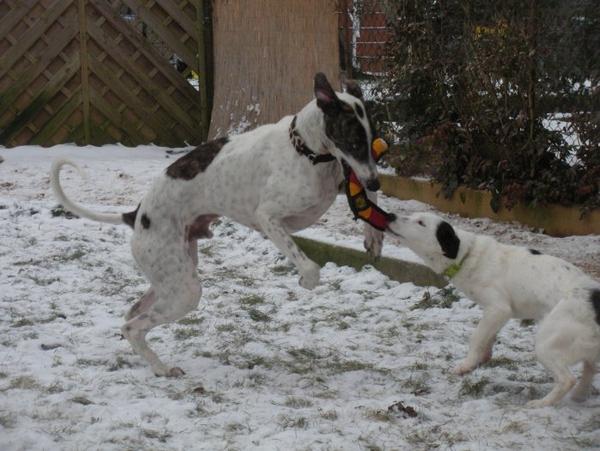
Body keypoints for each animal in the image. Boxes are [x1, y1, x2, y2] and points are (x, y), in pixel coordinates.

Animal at [49, 73, 382, 378]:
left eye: (373, 142)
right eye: (354, 141)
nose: (375, 179)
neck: (305, 150)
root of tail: (136, 215)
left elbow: (372, 203)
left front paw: (374, 238)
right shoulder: (268, 218)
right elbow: (310, 266)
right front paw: (306, 279)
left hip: (172, 277)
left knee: (132, 312)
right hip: (185, 289)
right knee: (133, 326)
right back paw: (161, 368)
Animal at [386, 214, 600, 408]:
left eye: (420, 222)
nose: (390, 215)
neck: (466, 255)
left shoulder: (498, 308)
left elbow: (477, 337)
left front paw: (467, 364)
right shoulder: (498, 314)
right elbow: (488, 336)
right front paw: (483, 357)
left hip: (547, 342)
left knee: (567, 379)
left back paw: (542, 403)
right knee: (590, 368)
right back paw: (580, 395)